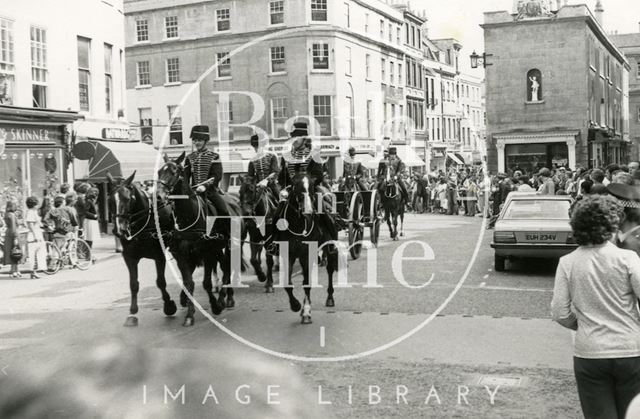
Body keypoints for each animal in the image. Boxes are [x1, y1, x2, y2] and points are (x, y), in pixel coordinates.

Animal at [107, 171, 178, 328]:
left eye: (127, 199)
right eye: (110, 200)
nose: (118, 230)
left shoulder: (159, 255)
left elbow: (160, 281)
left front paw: (169, 305)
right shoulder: (129, 257)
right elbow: (133, 284)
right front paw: (132, 313)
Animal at [156, 154, 241, 328]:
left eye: (174, 172)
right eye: (160, 171)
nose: (159, 196)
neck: (189, 217)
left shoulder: (207, 254)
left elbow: (206, 283)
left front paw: (215, 306)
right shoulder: (182, 256)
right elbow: (189, 283)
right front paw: (189, 315)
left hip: (228, 246)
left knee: (228, 268)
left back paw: (226, 298)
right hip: (218, 250)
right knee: (225, 266)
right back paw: (226, 298)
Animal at [278, 174, 342, 324]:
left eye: (312, 189)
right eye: (295, 187)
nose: (308, 211)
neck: (298, 225)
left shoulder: (306, 254)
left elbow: (307, 283)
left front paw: (306, 311)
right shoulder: (288, 254)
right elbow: (288, 283)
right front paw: (295, 305)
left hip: (327, 248)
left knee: (330, 269)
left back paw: (330, 298)